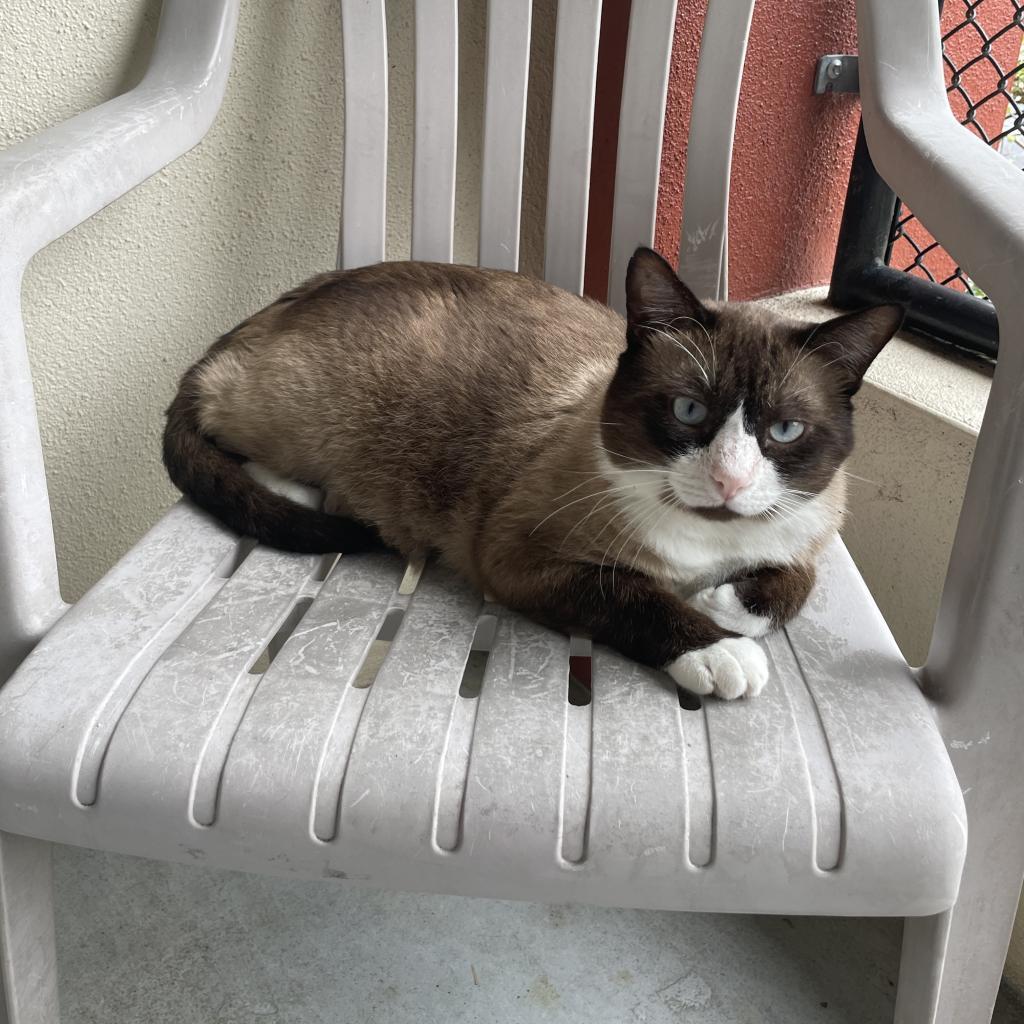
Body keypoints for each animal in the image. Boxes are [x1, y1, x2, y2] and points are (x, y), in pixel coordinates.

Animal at [161, 246, 905, 696]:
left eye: (784, 431)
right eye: (689, 411)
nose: (729, 482)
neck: (708, 547)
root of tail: (255, 320)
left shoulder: (808, 534)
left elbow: (795, 581)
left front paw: (729, 604)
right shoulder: (519, 558)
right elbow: (633, 595)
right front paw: (719, 648)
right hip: (306, 417)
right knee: (228, 434)